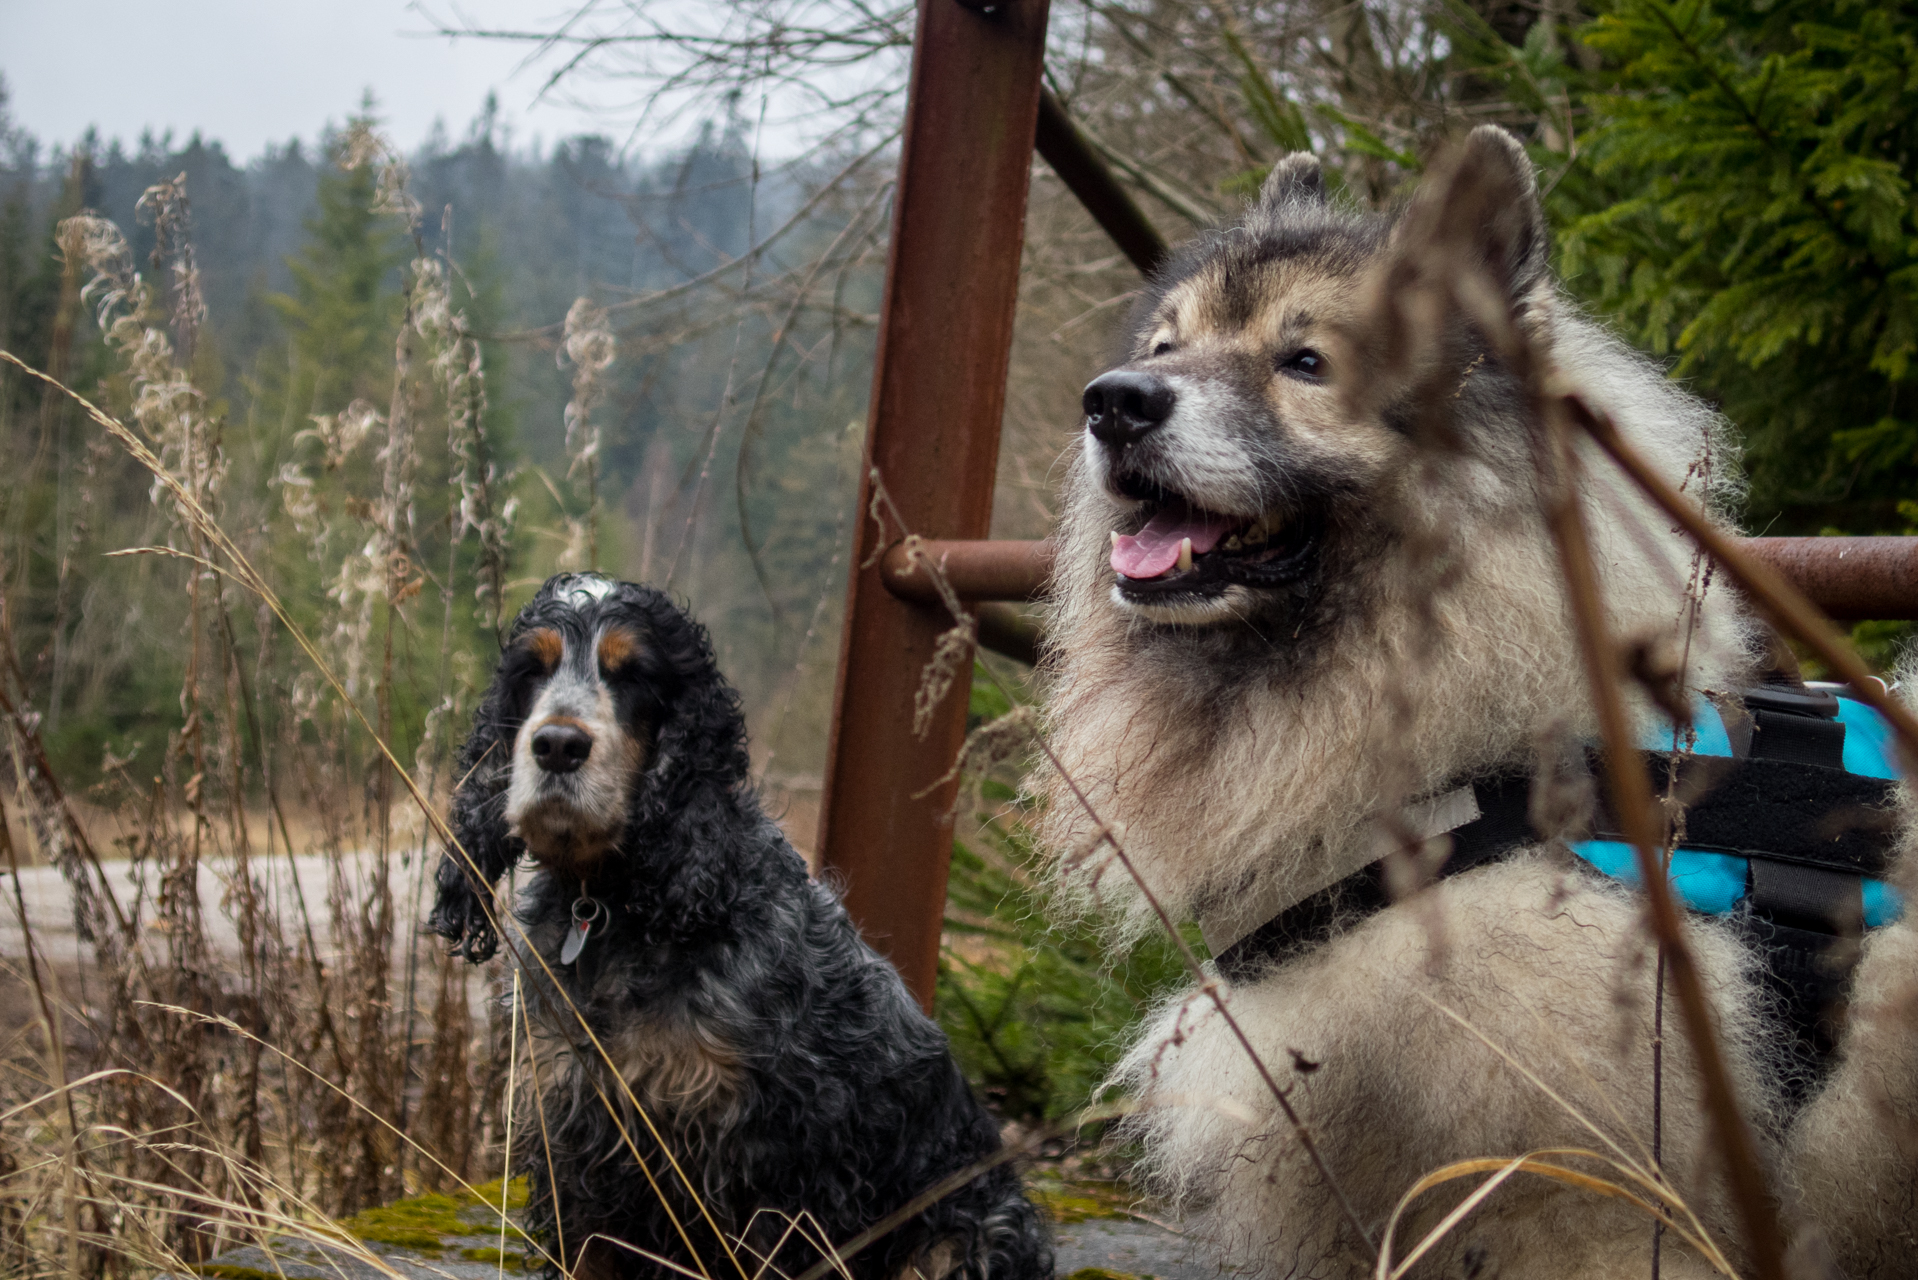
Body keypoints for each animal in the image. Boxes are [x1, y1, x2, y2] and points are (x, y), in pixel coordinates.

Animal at [431, 579, 1051, 1280]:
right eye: (532, 670)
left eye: (635, 674)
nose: (558, 745)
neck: (619, 907)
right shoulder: (575, 1129)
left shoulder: (761, 1157)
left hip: (958, 1239)